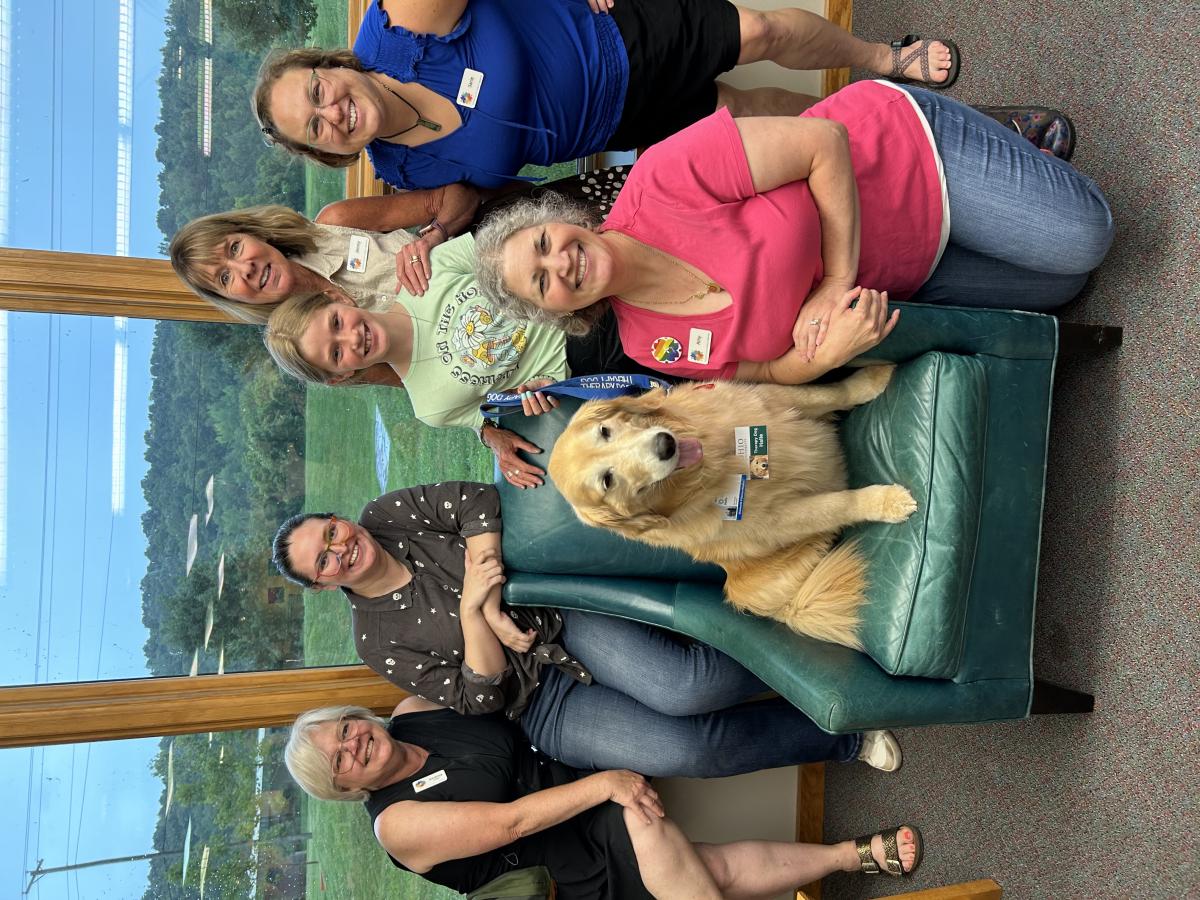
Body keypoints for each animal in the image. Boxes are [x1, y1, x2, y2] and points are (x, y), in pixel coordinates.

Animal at [549, 364, 912, 648]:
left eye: (605, 430)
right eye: (607, 481)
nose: (665, 445)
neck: (716, 461)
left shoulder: (771, 398)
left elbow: (832, 393)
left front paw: (873, 378)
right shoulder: (779, 518)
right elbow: (836, 504)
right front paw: (885, 501)